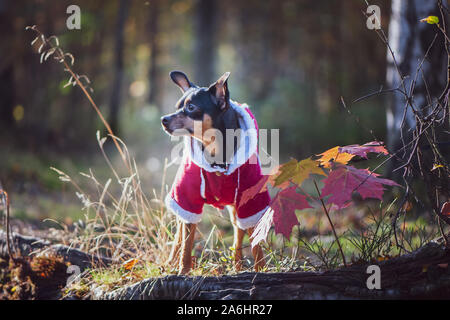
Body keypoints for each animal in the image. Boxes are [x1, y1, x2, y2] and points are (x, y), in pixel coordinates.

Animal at [160, 70, 268, 276]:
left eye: (191, 107)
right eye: (177, 107)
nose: (164, 119)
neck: (216, 152)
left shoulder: (251, 203)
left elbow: (256, 243)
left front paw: (262, 270)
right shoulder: (188, 201)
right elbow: (186, 245)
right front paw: (183, 272)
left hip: (235, 211)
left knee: (238, 236)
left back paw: (238, 267)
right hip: (182, 203)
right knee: (179, 234)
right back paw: (170, 262)